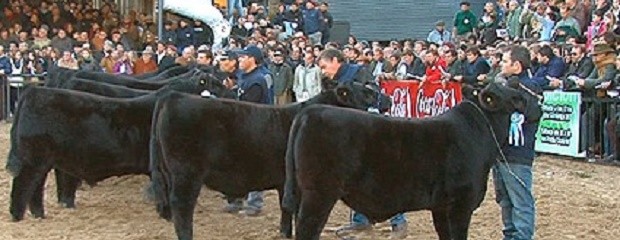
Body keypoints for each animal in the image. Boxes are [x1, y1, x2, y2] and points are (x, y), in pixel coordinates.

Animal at [149, 82, 392, 240]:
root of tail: (175, 96)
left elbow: (286, 210)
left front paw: (285, 233)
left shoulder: (285, 183)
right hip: (186, 173)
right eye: (367, 93)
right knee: (182, 207)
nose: (389, 99)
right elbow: (294, 211)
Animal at [282, 83, 544, 240]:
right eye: (518, 98)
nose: (541, 104)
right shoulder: (461, 203)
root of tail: (309, 112)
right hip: (319, 194)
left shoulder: (441, 206)